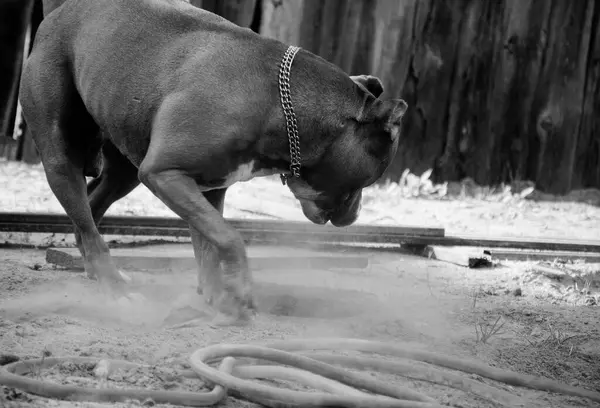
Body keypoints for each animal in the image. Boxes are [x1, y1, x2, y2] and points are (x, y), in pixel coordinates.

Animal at [21, 0, 410, 326]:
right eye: (371, 178)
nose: (355, 215)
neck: (277, 103)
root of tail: (61, 10)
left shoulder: (207, 188)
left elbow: (209, 243)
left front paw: (217, 297)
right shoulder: (166, 174)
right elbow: (229, 237)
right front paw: (239, 293)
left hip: (125, 168)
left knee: (91, 208)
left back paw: (98, 274)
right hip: (61, 156)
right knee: (85, 215)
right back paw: (116, 290)